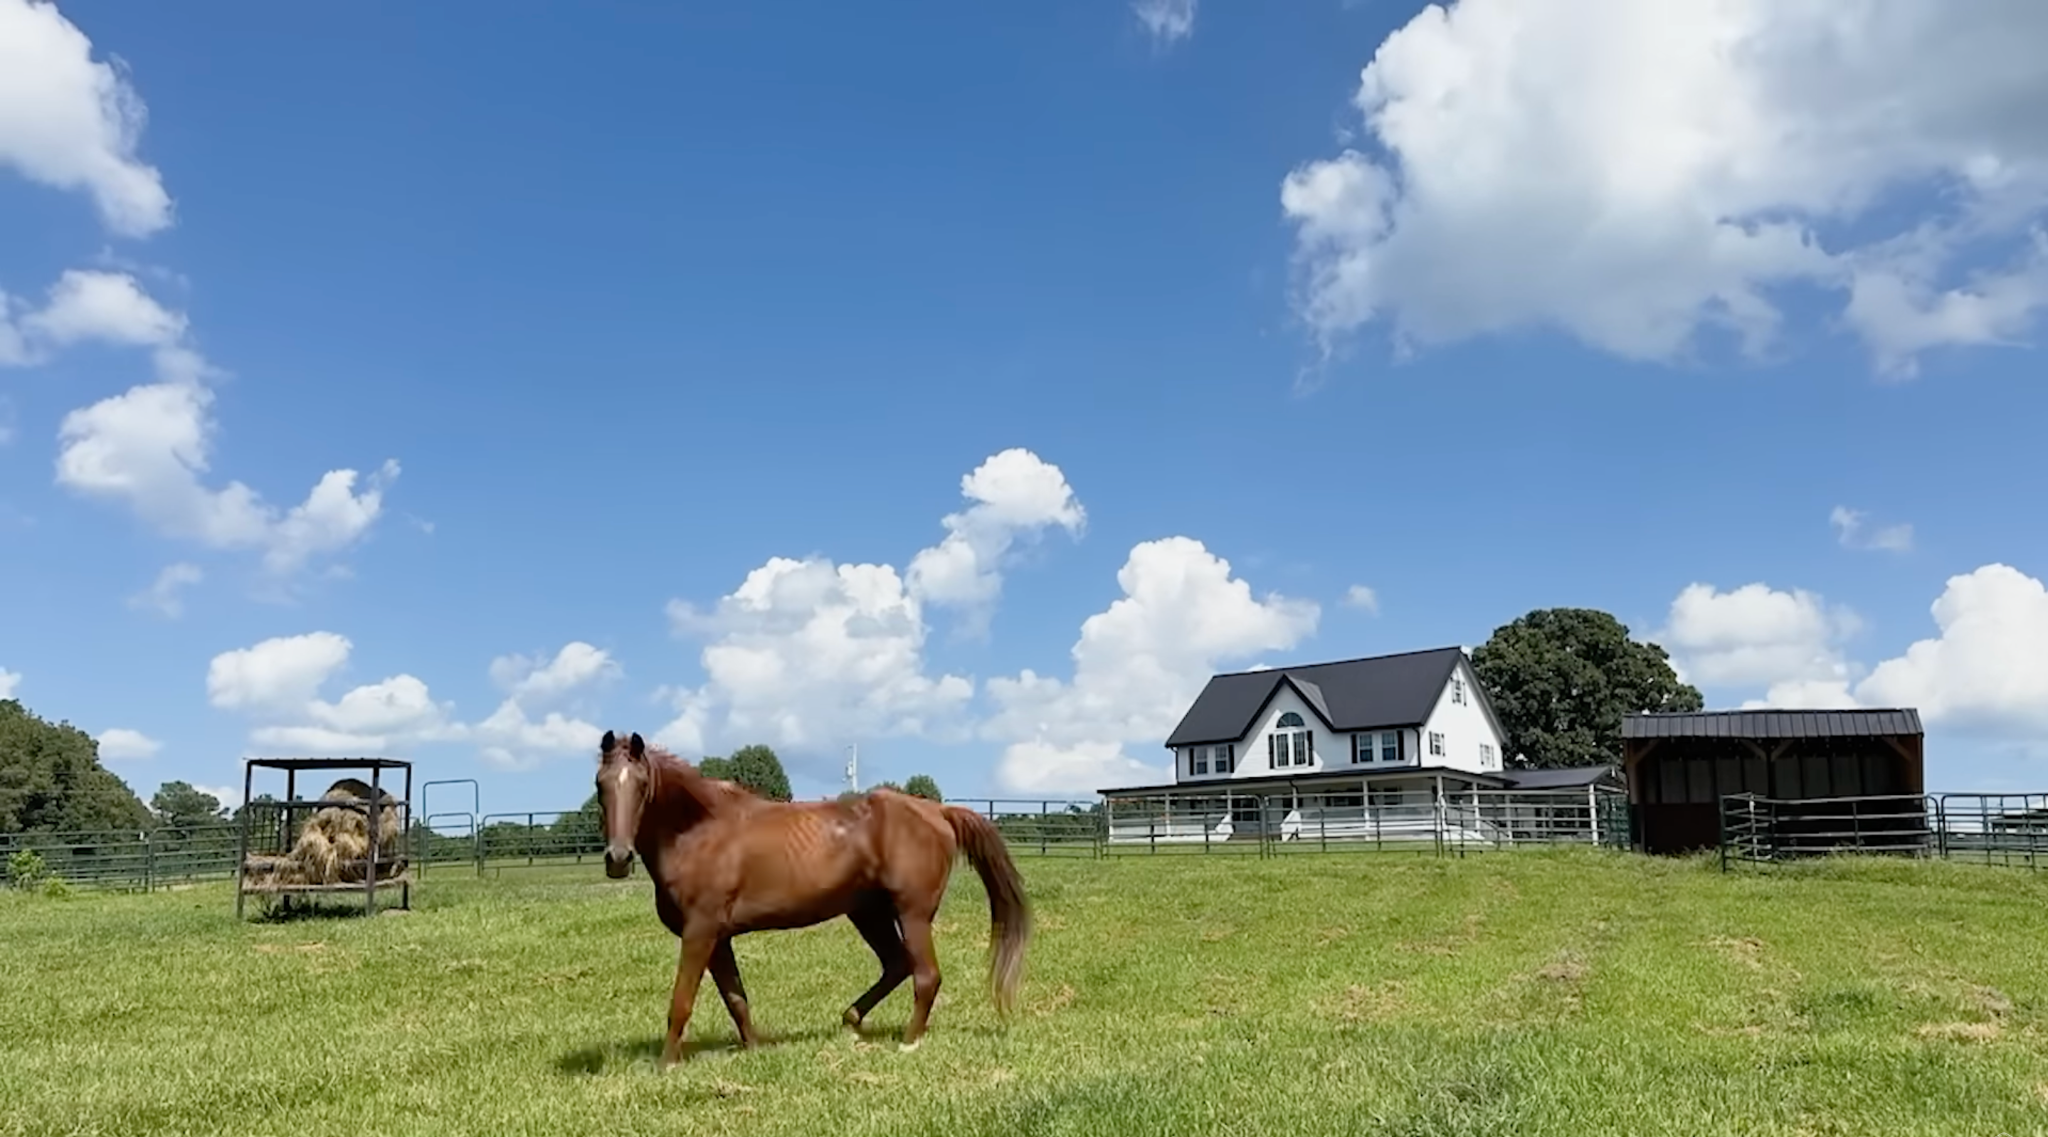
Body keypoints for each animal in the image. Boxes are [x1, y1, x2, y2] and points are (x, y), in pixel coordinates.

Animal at [594, 729, 1031, 1066]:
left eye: (642, 785)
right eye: (600, 784)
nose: (618, 858)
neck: (699, 834)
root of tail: (938, 812)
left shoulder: (699, 932)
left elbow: (681, 1001)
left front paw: (666, 1064)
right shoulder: (719, 939)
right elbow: (736, 999)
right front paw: (755, 1050)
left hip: (912, 914)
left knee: (926, 975)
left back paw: (909, 1042)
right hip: (868, 913)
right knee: (897, 964)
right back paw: (851, 1019)